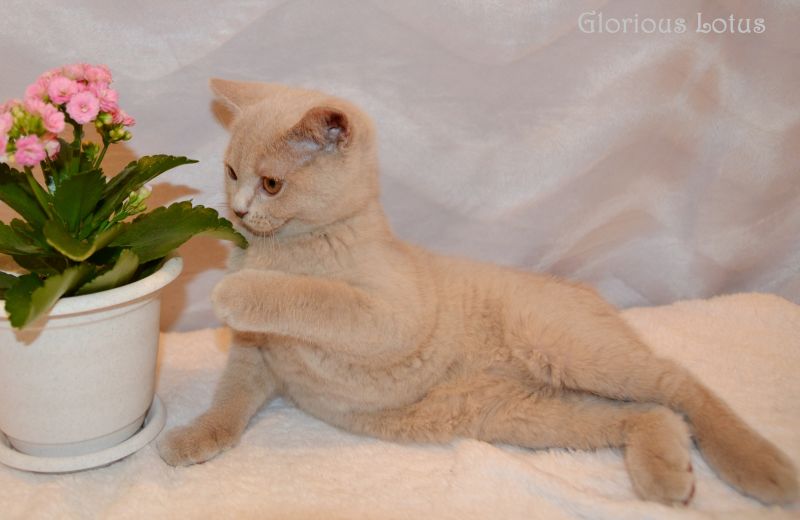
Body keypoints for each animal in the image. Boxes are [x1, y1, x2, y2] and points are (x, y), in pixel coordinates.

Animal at [158, 79, 798, 507]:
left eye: (271, 183)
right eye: (231, 172)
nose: (238, 210)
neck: (284, 248)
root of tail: (585, 295)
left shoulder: (390, 315)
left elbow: (316, 298)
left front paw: (237, 289)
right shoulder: (255, 357)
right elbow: (230, 401)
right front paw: (194, 437)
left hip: (566, 347)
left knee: (677, 381)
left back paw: (759, 467)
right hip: (524, 416)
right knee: (645, 412)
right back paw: (665, 475)